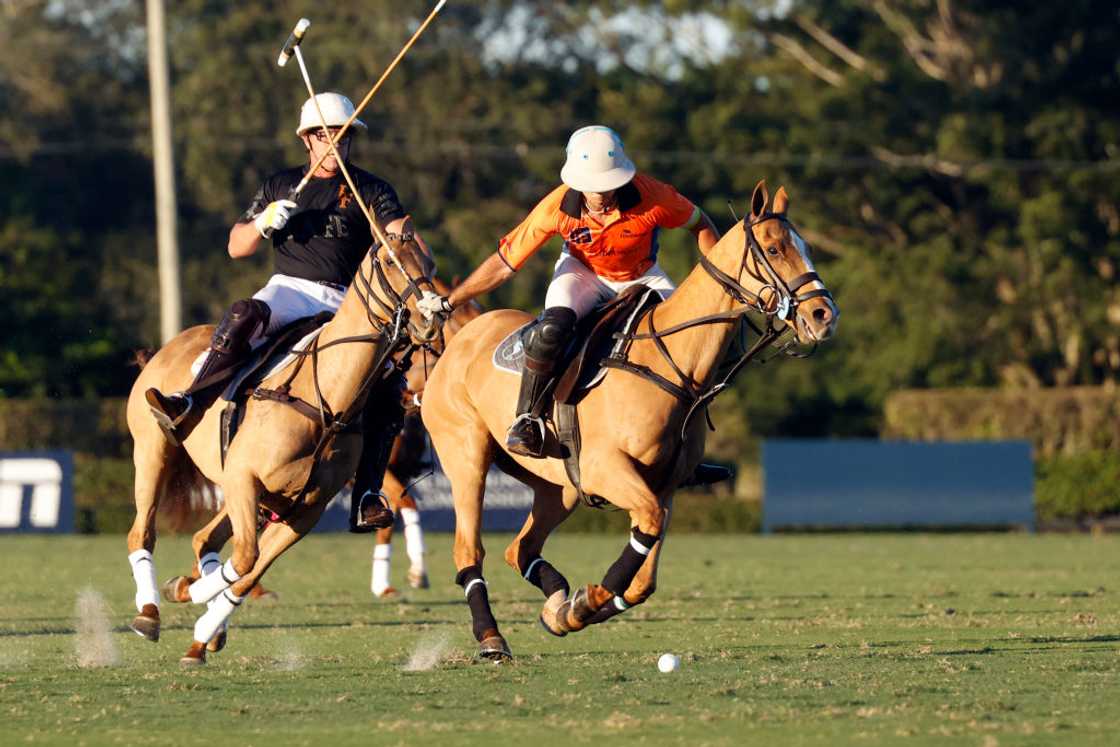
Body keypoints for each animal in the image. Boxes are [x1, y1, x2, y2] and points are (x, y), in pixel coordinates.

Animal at [123, 235, 436, 667]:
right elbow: (245, 559)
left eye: (429, 262)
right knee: (143, 532)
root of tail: (168, 345)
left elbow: (250, 568)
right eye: (390, 261)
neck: (327, 400)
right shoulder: (244, 478)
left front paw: (201, 630)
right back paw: (150, 611)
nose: (433, 315)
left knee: (204, 538)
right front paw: (192, 598)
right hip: (154, 452)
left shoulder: (304, 511)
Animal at [423, 181, 837, 658]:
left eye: (806, 247)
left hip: (558, 485)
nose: (824, 315)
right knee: (468, 551)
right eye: (773, 248)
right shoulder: (608, 469)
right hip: (467, 457)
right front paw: (584, 605)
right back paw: (492, 638)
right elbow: (646, 535)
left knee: (519, 548)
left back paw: (556, 599)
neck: (671, 364)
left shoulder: (665, 485)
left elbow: (643, 579)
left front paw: (572, 610)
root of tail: (460, 335)